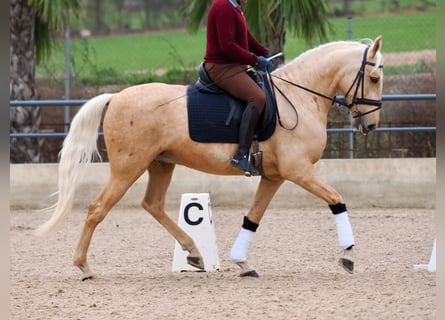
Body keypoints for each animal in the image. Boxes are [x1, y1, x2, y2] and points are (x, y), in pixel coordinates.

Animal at [34, 35, 384, 280]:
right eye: (375, 78)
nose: (370, 125)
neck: (298, 96)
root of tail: (116, 96)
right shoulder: (298, 170)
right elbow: (336, 199)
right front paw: (348, 255)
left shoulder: (275, 176)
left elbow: (253, 217)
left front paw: (243, 263)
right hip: (127, 168)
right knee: (97, 209)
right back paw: (84, 267)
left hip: (161, 164)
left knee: (153, 205)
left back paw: (194, 253)